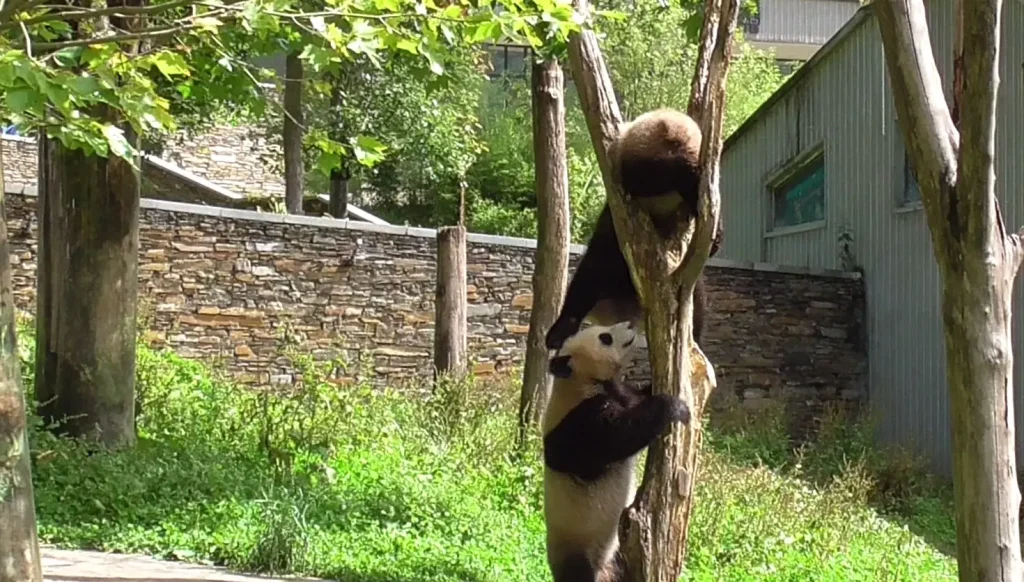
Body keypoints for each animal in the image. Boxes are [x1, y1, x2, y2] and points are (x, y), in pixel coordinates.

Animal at [542, 320, 691, 582]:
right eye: (605, 337)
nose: (630, 323)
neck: (580, 380)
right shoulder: (577, 423)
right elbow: (617, 437)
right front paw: (674, 407)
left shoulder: (620, 392)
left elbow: (638, 396)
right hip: (577, 548)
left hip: (616, 552)